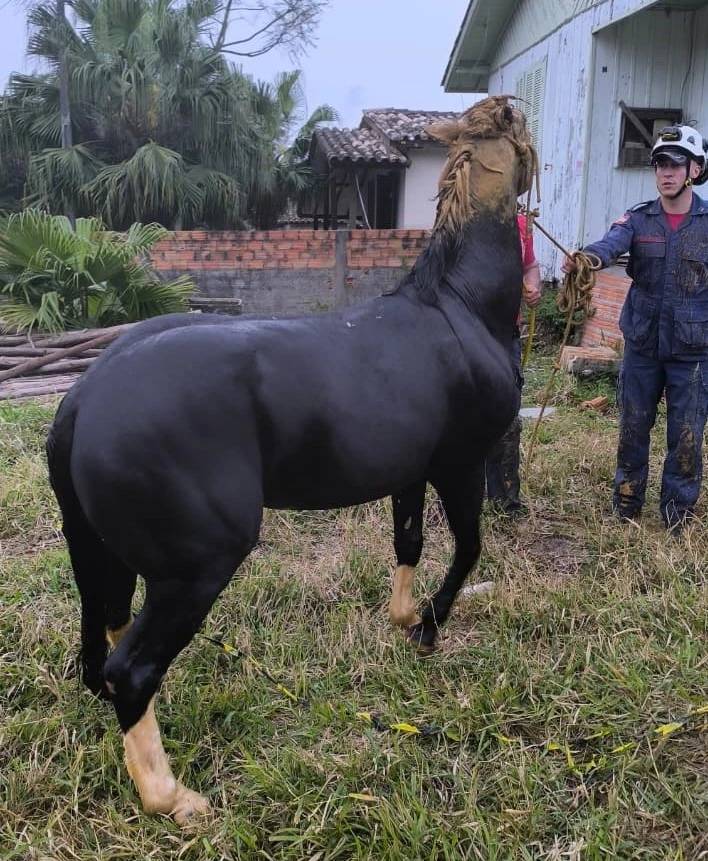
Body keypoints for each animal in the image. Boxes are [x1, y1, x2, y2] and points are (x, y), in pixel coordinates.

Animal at [46, 95, 535, 824]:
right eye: (524, 133)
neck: (459, 306)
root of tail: (83, 398)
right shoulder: (459, 464)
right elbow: (469, 547)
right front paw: (429, 627)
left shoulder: (411, 472)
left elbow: (410, 543)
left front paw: (402, 617)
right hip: (195, 568)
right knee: (130, 669)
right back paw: (171, 797)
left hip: (102, 553)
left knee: (100, 642)